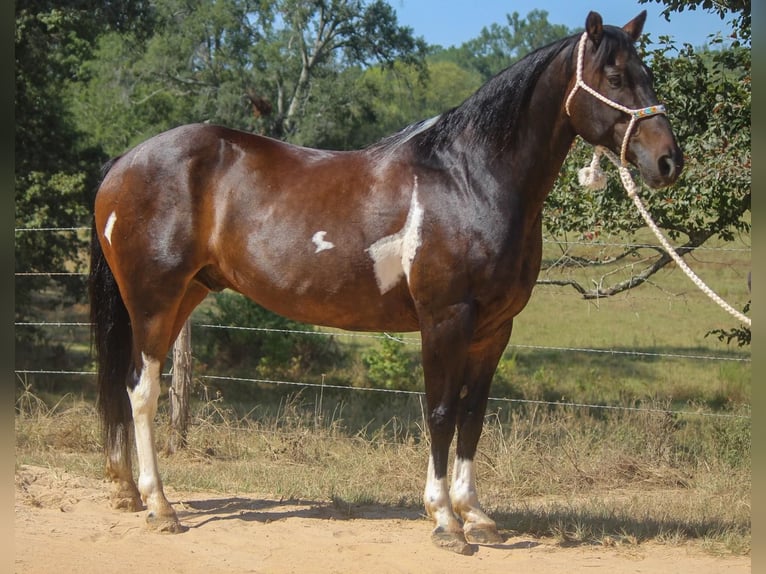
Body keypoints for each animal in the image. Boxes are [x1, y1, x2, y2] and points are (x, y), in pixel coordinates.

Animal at [88, 11, 684, 556]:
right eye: (614, 75)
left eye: (648, 73)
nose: (668, 162)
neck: (469, 180)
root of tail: (125, 162)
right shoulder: (445, 319)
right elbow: (440, 412)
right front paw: (444, 521)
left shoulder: (496, 328)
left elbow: (473, 415)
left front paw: (477, 516)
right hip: (154, 301)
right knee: (142, 390)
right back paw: (160, 506)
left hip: (184, 295)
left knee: (130, 383)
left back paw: (130, 491)